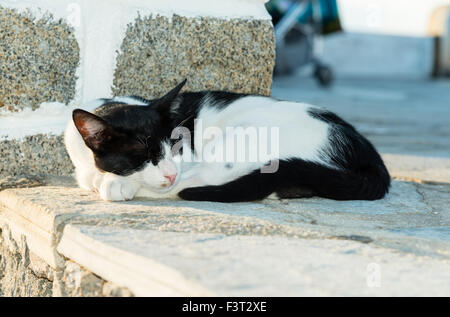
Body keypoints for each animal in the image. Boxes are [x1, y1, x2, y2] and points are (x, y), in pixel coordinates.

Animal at [64, 80, 390, 201]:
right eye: (142, 155)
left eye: (177, 148)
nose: (170, 173)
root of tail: (368, 153)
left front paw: (117, 183)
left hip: (242, 135)